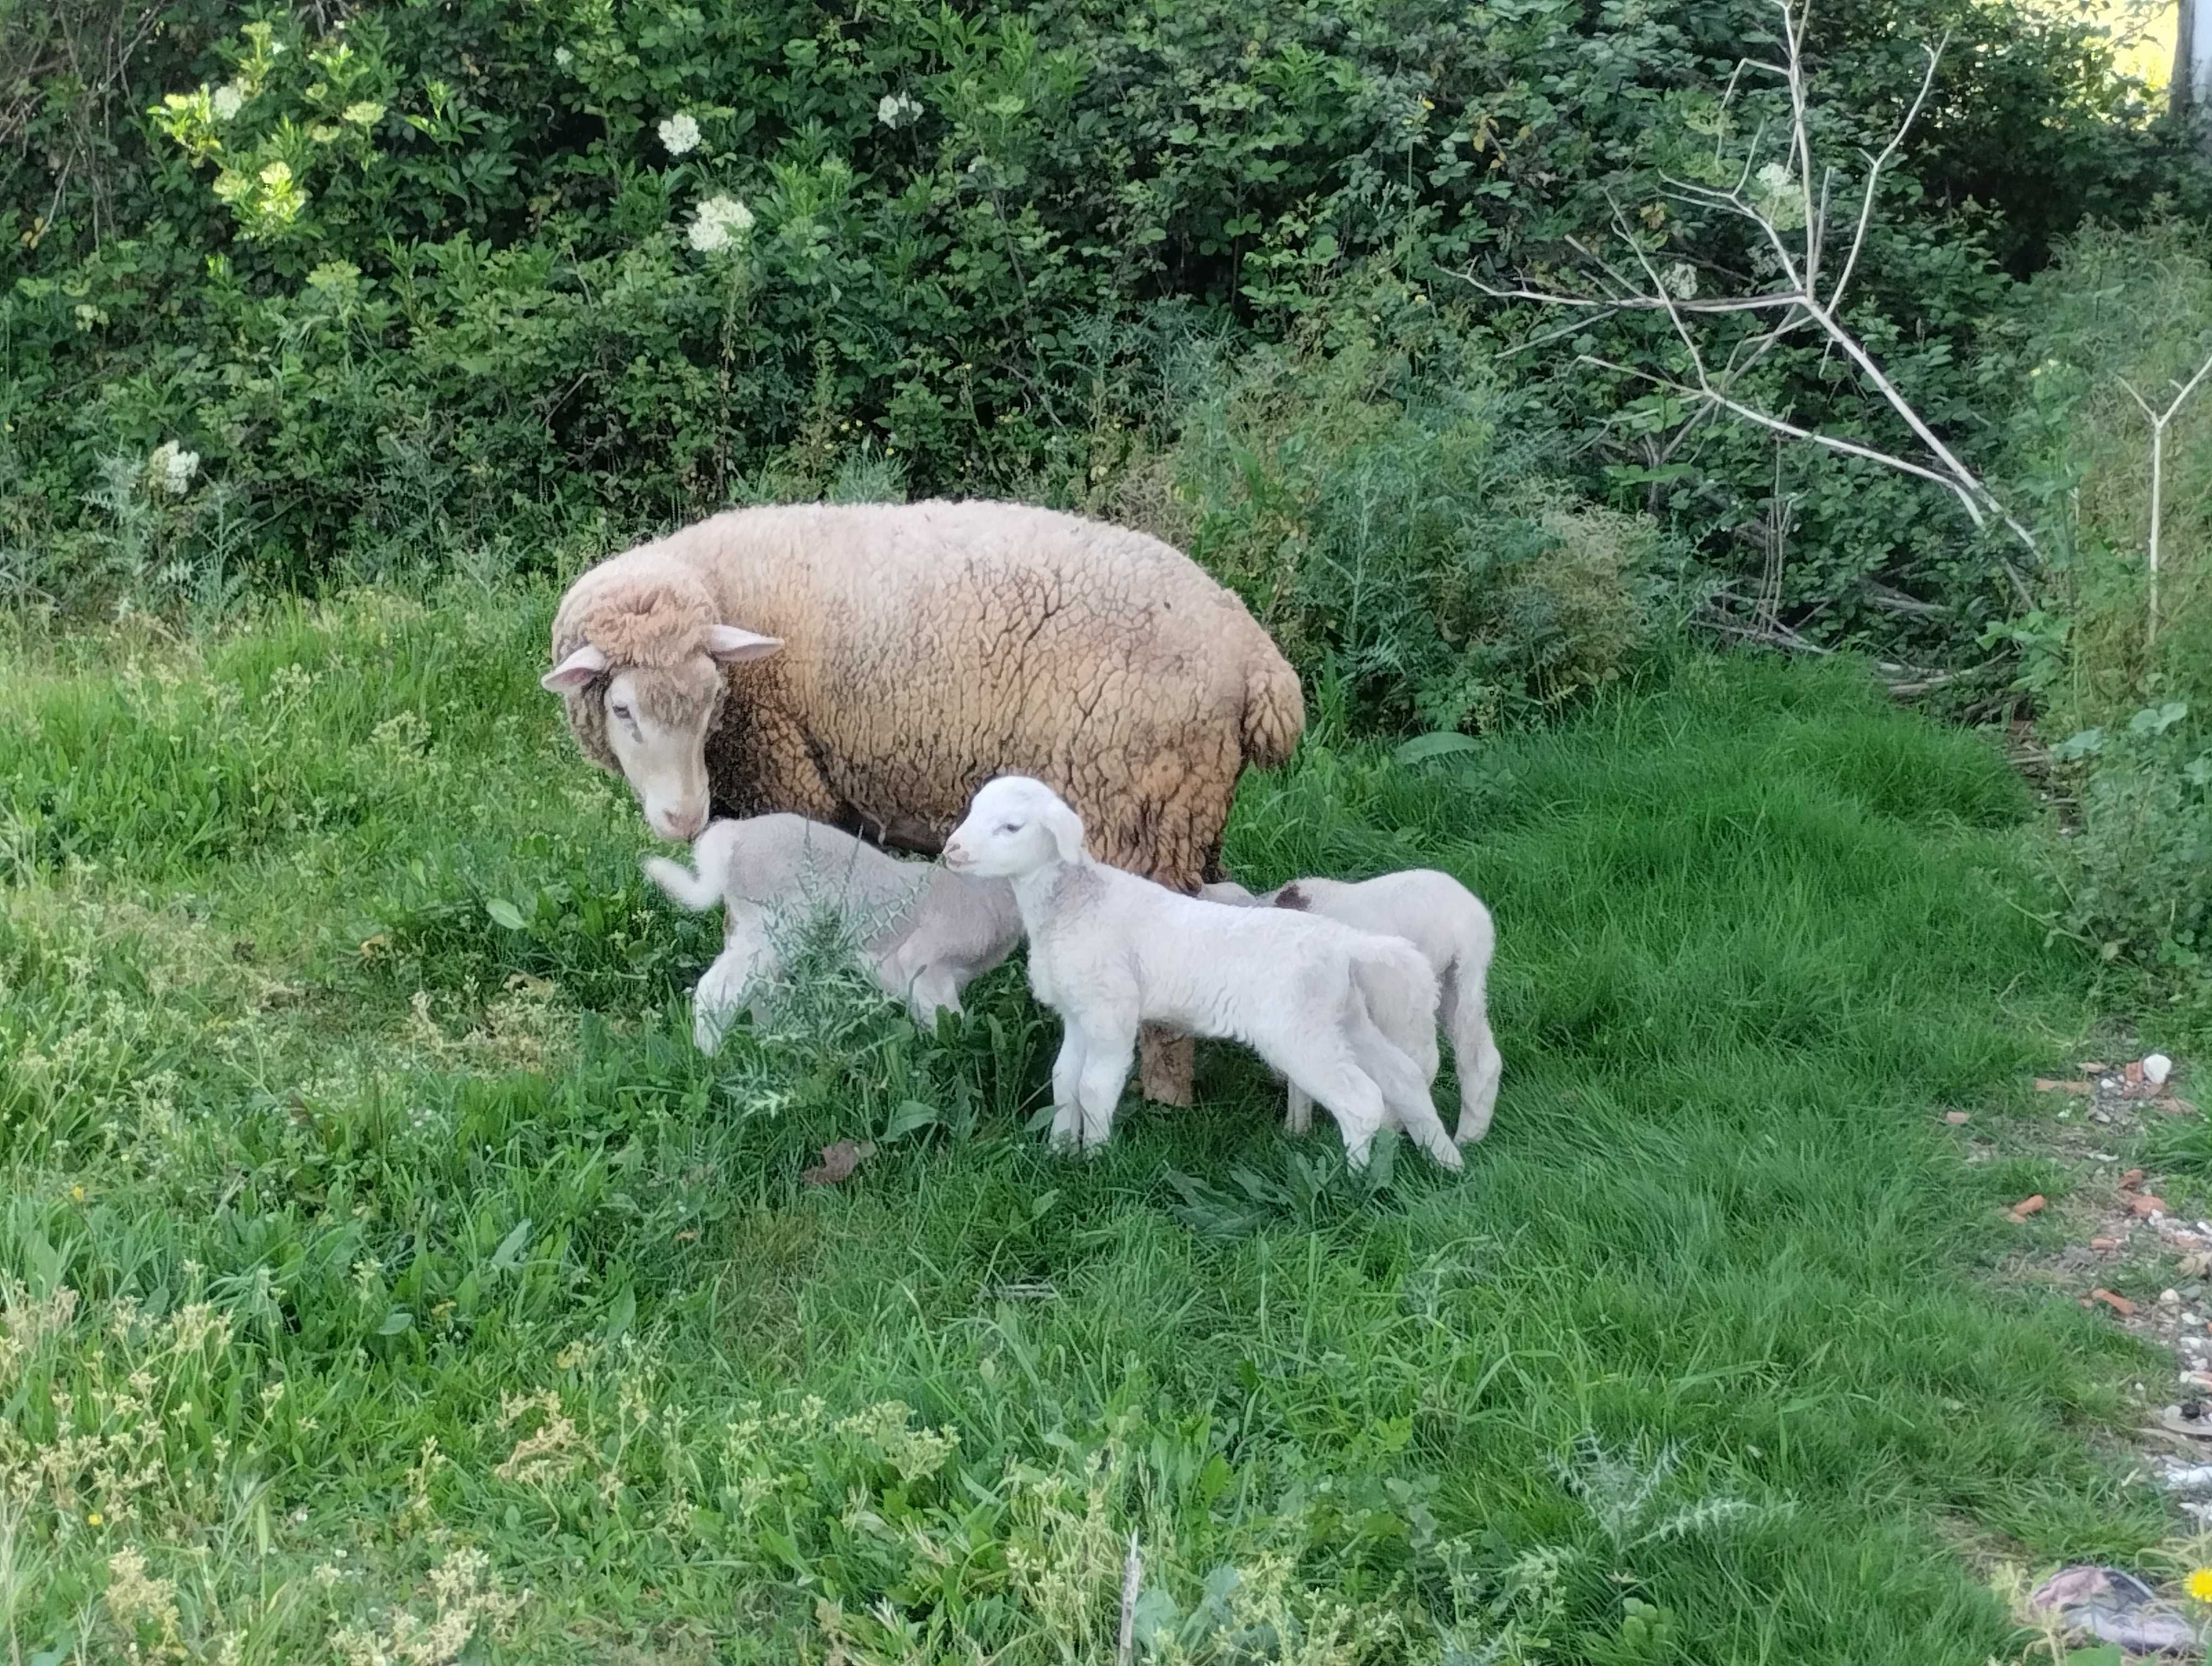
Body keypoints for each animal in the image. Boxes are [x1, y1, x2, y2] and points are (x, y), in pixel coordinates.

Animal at [641, 814, 1017, 1044]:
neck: (983, 894)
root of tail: (733, 836)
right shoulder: (924, 961)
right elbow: (949, 1022)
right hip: (771, 926)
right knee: (716, 989)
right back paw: (711, 1056)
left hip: (756, 932)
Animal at [942, 770, 1459, 1168]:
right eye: (973, 810)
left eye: (1011, 827)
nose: (951, 851)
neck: (1073, 904)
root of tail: (1343, 942)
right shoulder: (1077, 1012)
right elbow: (1064, 1082)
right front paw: (1060, 1153)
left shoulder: (1111, 1010)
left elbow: (1094, 1087)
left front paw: (1097, 1161)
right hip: (1342, 1018)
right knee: (1403, 1078)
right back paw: (1444, 1162)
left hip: (1298, 1031)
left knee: (1361, 1100)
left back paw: (1353, 1180)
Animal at [1212, 872, 1504, 1142]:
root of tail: (1459, 924)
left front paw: (1296, 1129)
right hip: (1462, 979)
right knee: (1480, 1058)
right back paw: (1470, 1136)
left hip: (1401, 992)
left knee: (1421, 1061)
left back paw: (1390, 1126)